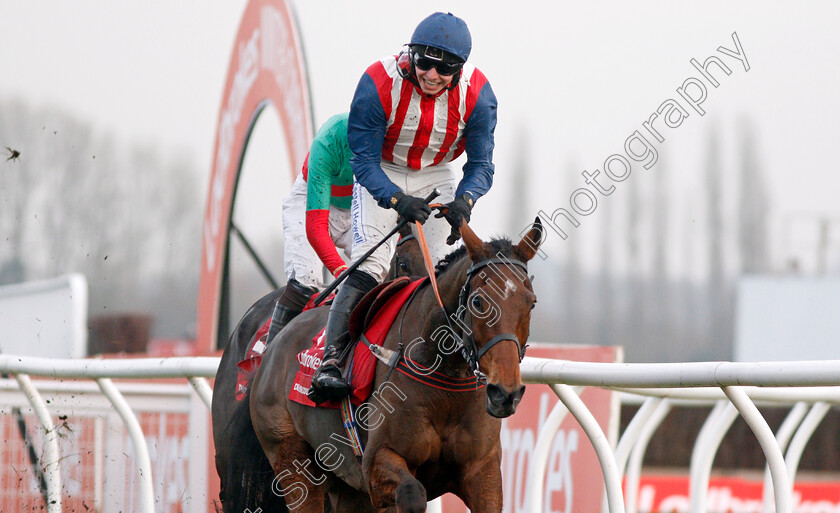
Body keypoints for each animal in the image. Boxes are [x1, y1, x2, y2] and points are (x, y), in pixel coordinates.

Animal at [240, 219, 544, 512]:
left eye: (531, 303)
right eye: (478, 302)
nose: (505, 393)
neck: (445, 378)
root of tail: (275, 341)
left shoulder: (482, 470)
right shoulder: (375, 464)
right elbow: (412, 495)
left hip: (347, 487)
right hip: (293, 461)